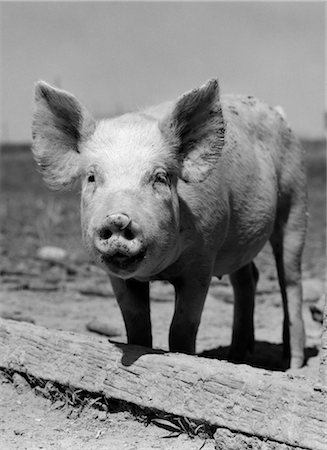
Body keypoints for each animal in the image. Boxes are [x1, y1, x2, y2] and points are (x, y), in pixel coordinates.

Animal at [31, 79, 308, 370]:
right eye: (92, 177)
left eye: (160, 178)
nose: (117, 219)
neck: (158, 273)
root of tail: (279, 114)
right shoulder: (117, 277)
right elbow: (136, 326)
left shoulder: (202, 262)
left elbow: (182, 327)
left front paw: (184, 357)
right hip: (240, 240)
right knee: (247, 278)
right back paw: (236, 356)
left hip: (296, 198)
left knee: (290, 281)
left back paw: (292, 365)